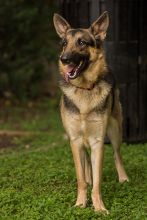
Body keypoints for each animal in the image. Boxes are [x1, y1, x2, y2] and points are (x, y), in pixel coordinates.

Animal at [53, 11, 129, 213]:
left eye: (82, 42)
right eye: (64, 43)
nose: (64, 59)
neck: (84, 89)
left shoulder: (97, 142)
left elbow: (98, 182)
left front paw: (99, 207)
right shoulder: (75, 140)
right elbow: (81, 179)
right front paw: (81, 203)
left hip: (115, 131)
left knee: (117, 154)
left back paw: (123, 178)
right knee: (85, 162)